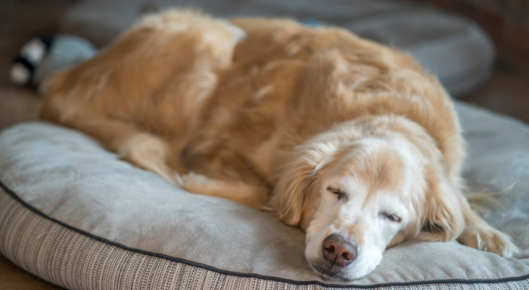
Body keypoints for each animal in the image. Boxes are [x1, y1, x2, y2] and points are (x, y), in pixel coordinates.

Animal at [40, 10, 516, 280]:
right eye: (334, 191)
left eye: (392, 216)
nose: (339, 250)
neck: (392, 113)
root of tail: (69, 76)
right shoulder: (227, 146)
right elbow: (259, 188)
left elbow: (461, 204)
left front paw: (490, 235)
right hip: (216, 39)